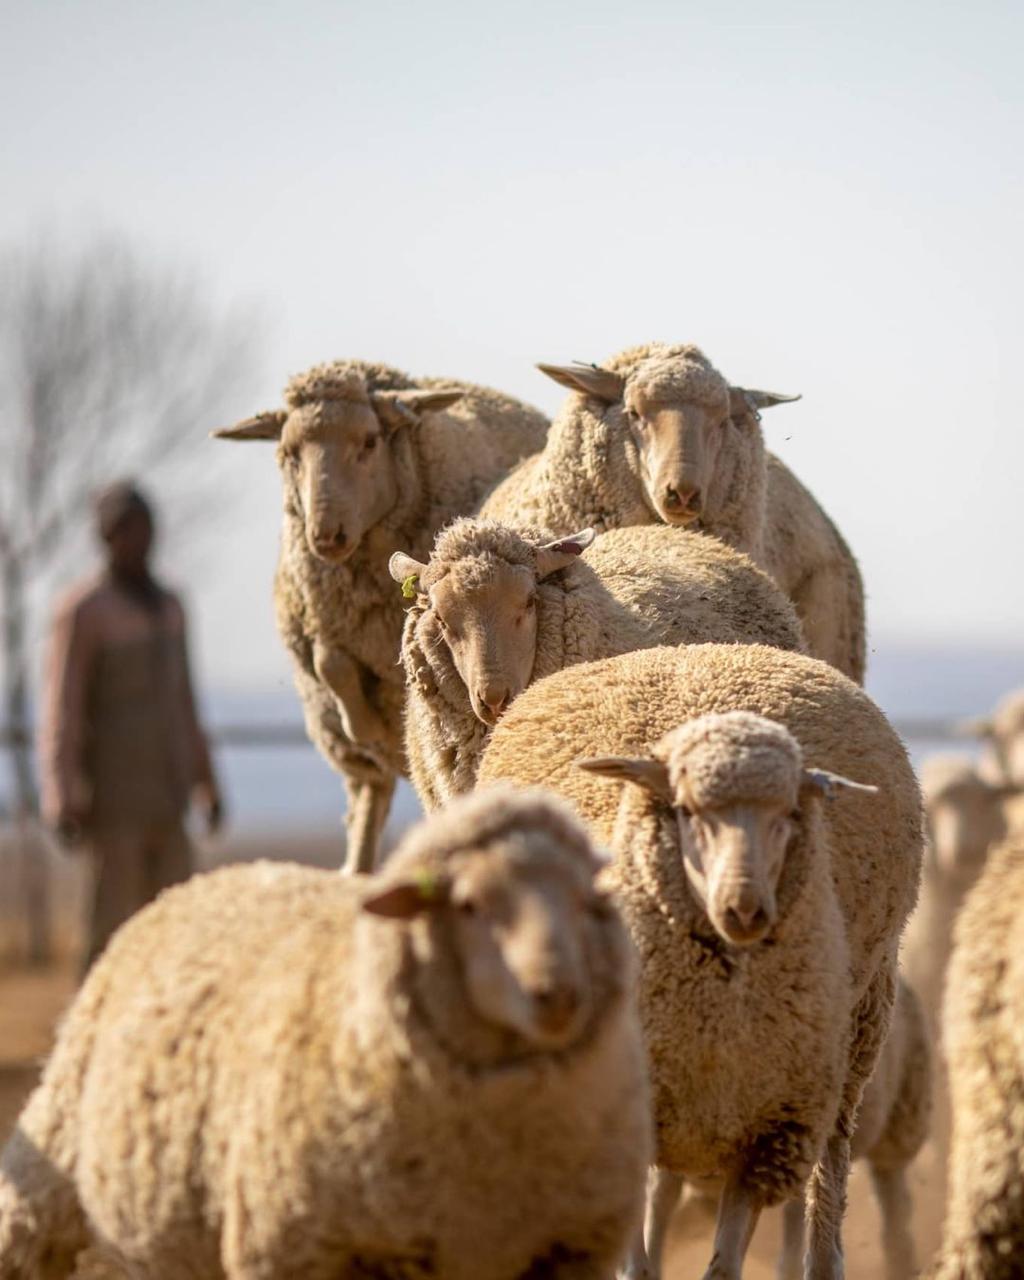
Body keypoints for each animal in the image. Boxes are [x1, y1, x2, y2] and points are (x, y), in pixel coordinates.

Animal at [0, 789, 651, 1280]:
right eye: (468, 904)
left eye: (586, 900)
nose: (558, 994)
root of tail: (221, 873)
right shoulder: (299, 1249)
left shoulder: (567, 1249)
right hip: (51, 1160)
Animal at [213, 359, 547, 872]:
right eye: (289, 453)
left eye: (370, 442)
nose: (325, 534)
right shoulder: (323, 620)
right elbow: (332, 664)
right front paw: (365, 728)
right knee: (369, 793)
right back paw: (357, 864)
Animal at [475, 644, 923, 1279]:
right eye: (687, 810)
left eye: (787, 813)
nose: (745, 907)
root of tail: (696, 650)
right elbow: (635, 1259)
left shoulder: (767, 1131)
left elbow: (724, 1263)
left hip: (854, 1044)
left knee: (830, 1172)